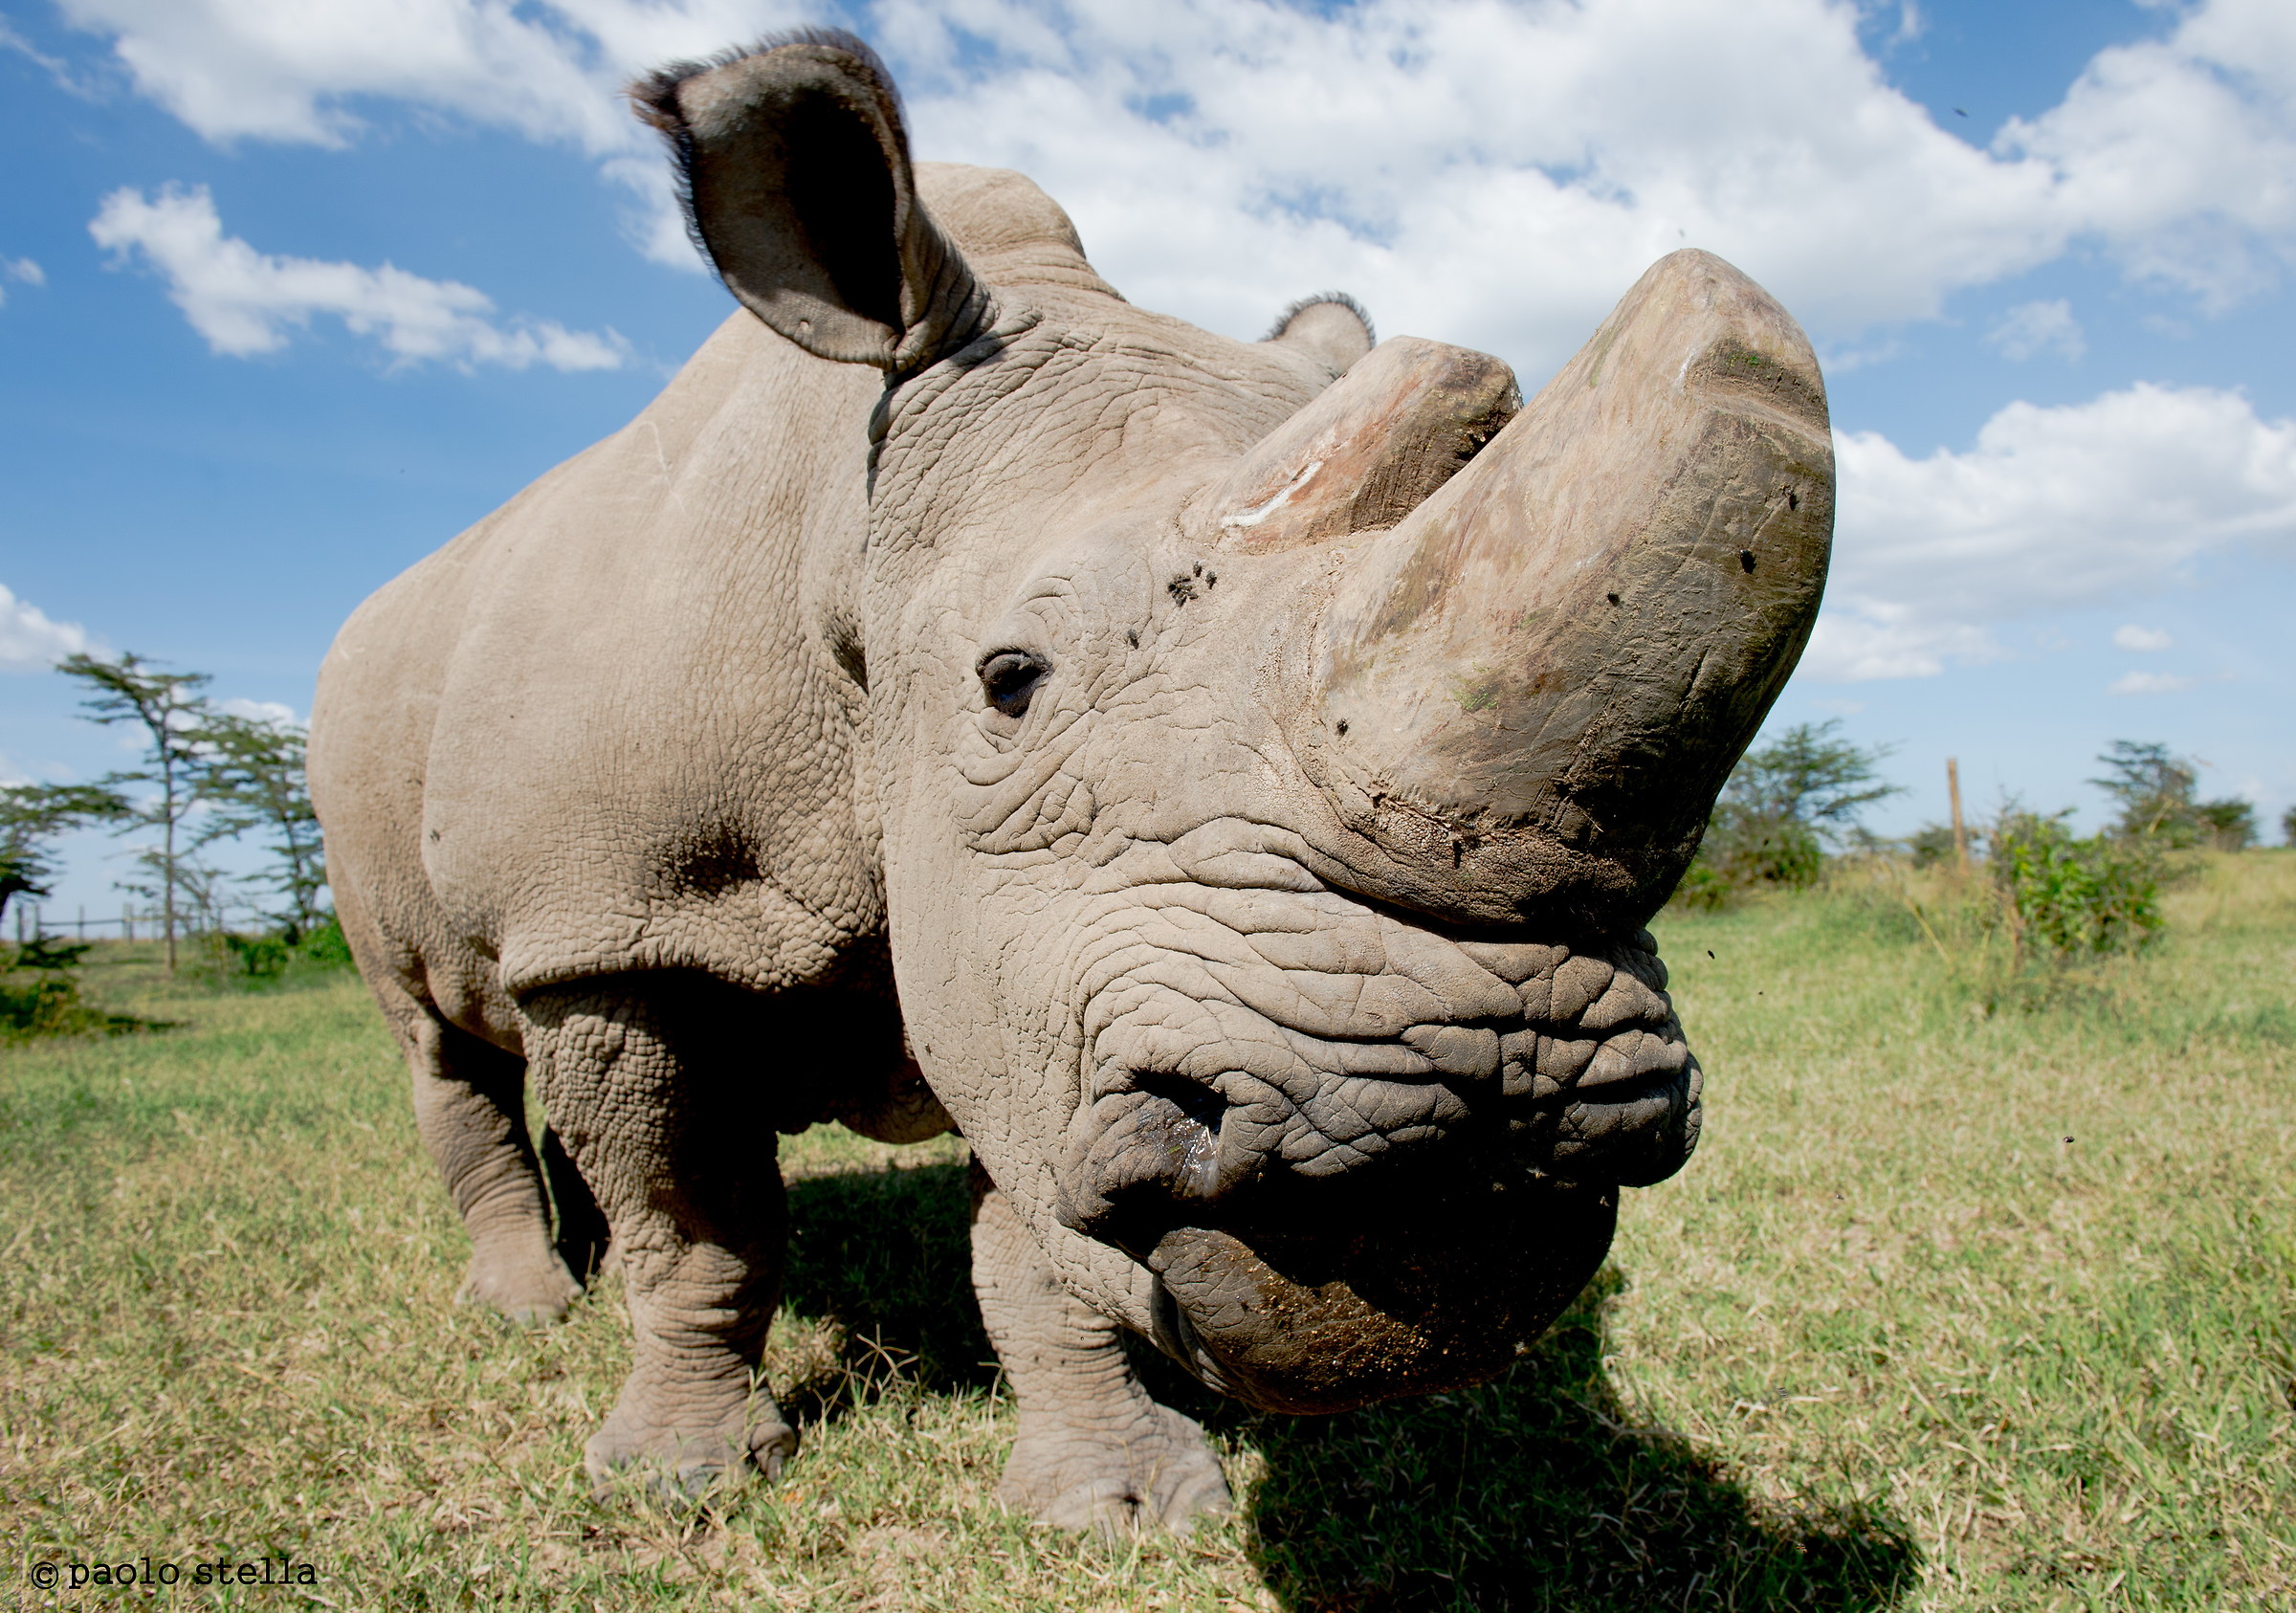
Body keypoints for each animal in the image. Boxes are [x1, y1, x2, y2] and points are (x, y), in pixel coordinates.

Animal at [308, 31, 1831, 1532]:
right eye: (1010, 680)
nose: (1472, 1119)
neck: (842, 544)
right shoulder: (609, 926)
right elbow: (693, 1223)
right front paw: (680, 1480)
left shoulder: (1033, 967)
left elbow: (1037, 1245)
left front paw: (1121, 1503)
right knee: (438, 1045)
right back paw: (527, 1307)